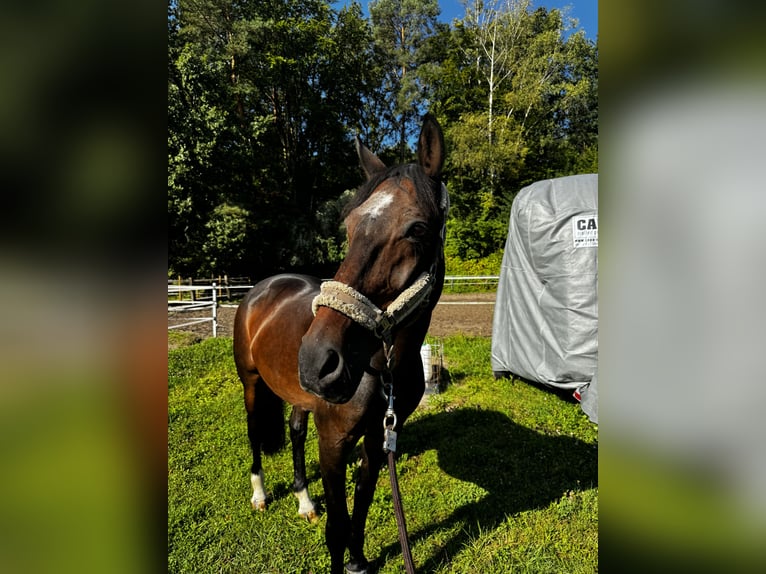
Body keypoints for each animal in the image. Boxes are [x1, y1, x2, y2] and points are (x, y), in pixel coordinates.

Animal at [236, 115, 450, 572]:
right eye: (349, 228)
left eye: (417, 229)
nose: (319, 361)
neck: (383, 370)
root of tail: (262, 287)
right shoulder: (334, 445)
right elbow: (336, 528)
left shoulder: (379, 437)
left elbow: (363, 505)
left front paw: (358, 560)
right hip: (251, 383)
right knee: (254, 432)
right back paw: (260, 494)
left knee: (295, 432)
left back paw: (303, 500)